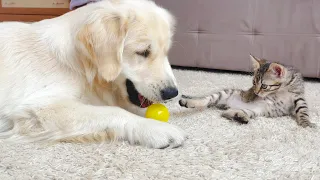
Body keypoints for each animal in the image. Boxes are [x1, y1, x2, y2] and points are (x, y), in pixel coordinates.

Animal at [0, 0, 186, 148]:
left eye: (166, 52)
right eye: (143, 52)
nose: (172, 93)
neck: (80, 64)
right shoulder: (39, 108)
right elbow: (113, 111)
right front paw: (155, 128)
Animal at [180, 54, 316, 128]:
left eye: (264, 86)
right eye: (254, 83)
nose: (256, 93)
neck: (283, 87)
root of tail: (229, 105)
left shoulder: (298, 96)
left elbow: (303, 111)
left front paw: (306, 123)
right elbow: (248, 91)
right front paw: (248, 95)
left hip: (254, 111)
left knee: (225, 113)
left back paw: (239, 117)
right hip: (224, 93)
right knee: (205, 100)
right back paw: (186, 102)